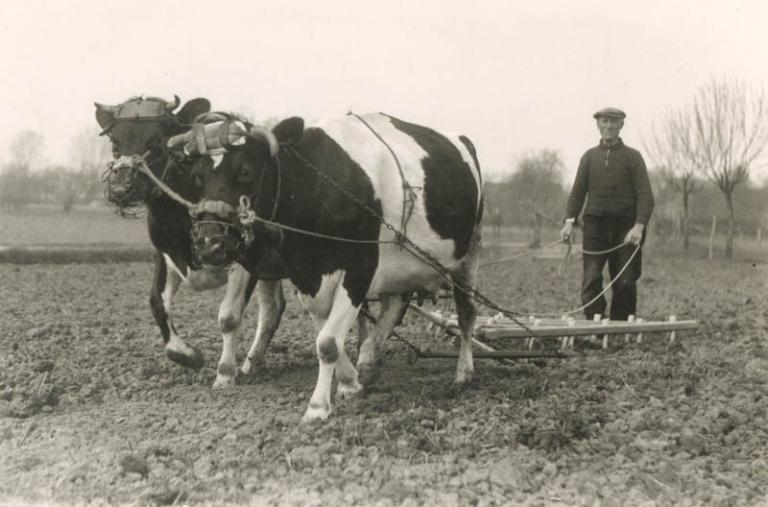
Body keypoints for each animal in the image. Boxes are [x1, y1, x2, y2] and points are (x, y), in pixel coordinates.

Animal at [94, 96, 287, 388]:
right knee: (273, 307)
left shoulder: (243, 259)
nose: (120, 189)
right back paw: (252, 363)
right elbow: (156, 302)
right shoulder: (165, 253)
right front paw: (187, 354)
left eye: (157, 140)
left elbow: (229, 316)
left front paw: (224, 375)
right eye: (115, 143)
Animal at [167, 111, 483, 420]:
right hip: (402, 265)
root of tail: (461, 139)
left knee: (466, 312)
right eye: (197, 177)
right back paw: (368, 361)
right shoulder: (305, 276)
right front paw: (350, 383)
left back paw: (463, 375)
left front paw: (318, 407)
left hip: (468, 254)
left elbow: (328, 343)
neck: (320, 186)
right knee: (395, 305)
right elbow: (325, 334)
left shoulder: (358, 271)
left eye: (245, 171)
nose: (209, 242)